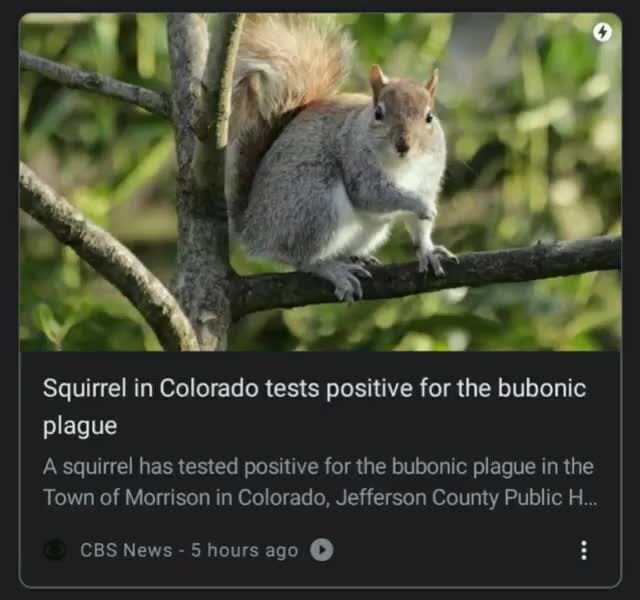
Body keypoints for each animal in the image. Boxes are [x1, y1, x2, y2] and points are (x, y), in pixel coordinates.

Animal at [226, 14, 457, 302]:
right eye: (378, 113)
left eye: (429, 117)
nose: (404, 145)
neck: (403, 166)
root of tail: (253, 227)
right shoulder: (357, 163)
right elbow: (373, 194)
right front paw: (421, 206)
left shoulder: (428, 178)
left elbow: (419, 227)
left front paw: (428, 249)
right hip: (314, 205)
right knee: (301, 259)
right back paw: (332, 269)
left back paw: (354, 257)